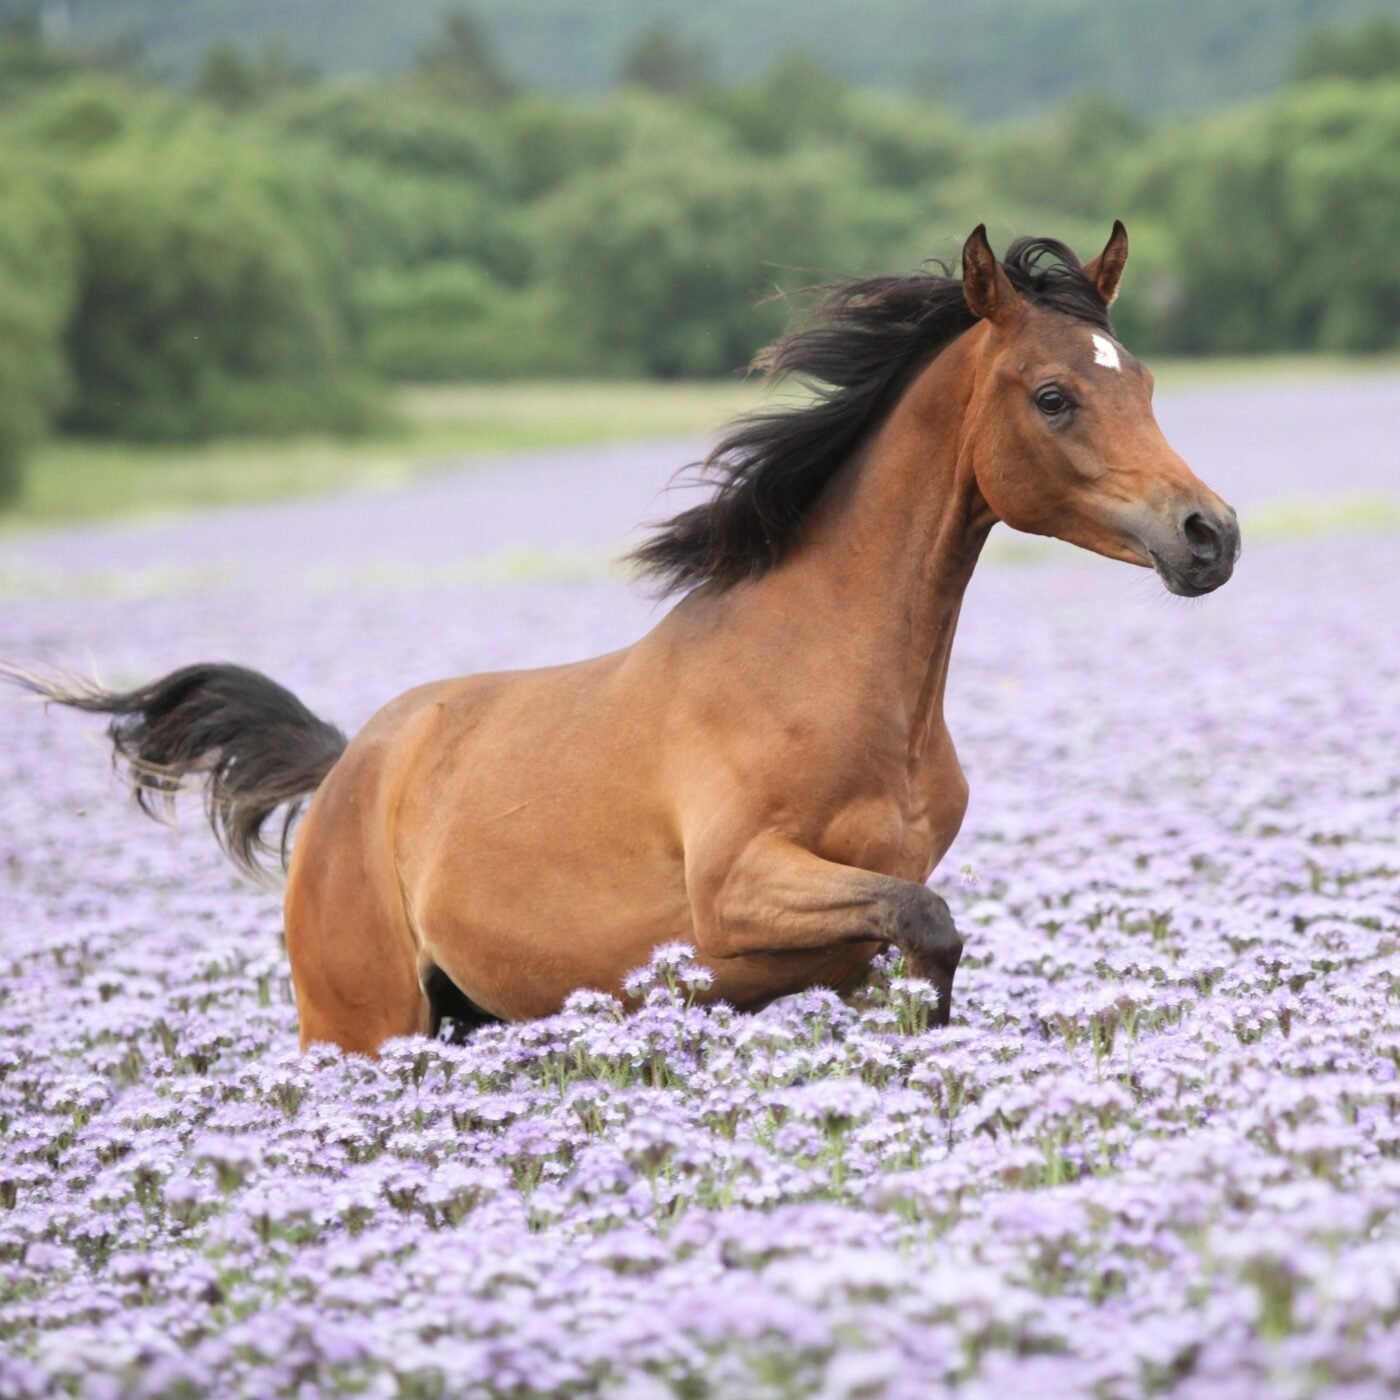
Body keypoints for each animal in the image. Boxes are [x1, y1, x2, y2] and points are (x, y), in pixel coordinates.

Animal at [4, 223, 1240, 1056]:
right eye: (1052, 395)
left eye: (1144, 382)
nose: (1209, 534)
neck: (826, 677)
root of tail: (354, 761)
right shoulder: (737, 897)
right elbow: (928, 926)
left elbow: (919, 945)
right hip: (358, 1023)